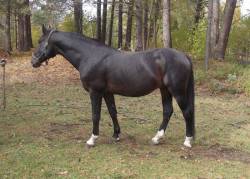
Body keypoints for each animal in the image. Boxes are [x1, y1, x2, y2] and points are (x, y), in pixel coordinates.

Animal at [31, 25, 195, 148]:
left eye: (40, 41)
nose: (33, 62)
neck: (89, 55)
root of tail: (184, 56)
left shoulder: (95, 92)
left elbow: (95, 115)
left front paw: (92, 140)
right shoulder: (107, 93)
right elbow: (112, 112)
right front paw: (116, 135)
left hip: (177, 91)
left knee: (187, 112)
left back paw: (187, 142)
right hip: (165, 90)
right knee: (167, 112)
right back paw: (156, 138)